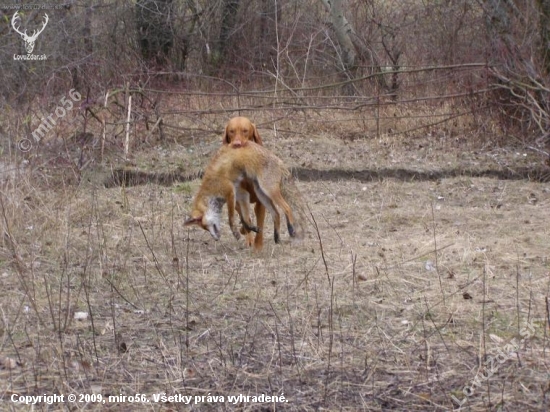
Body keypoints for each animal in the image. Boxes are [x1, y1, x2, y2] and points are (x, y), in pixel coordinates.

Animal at [224, 116, 268, 251]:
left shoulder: (261, 202)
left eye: (245, 131)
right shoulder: (239, 199)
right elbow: (245, 217)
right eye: (231, 131)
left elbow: (260, 223)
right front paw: (248, 237)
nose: (237, 144)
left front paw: (258, 246)